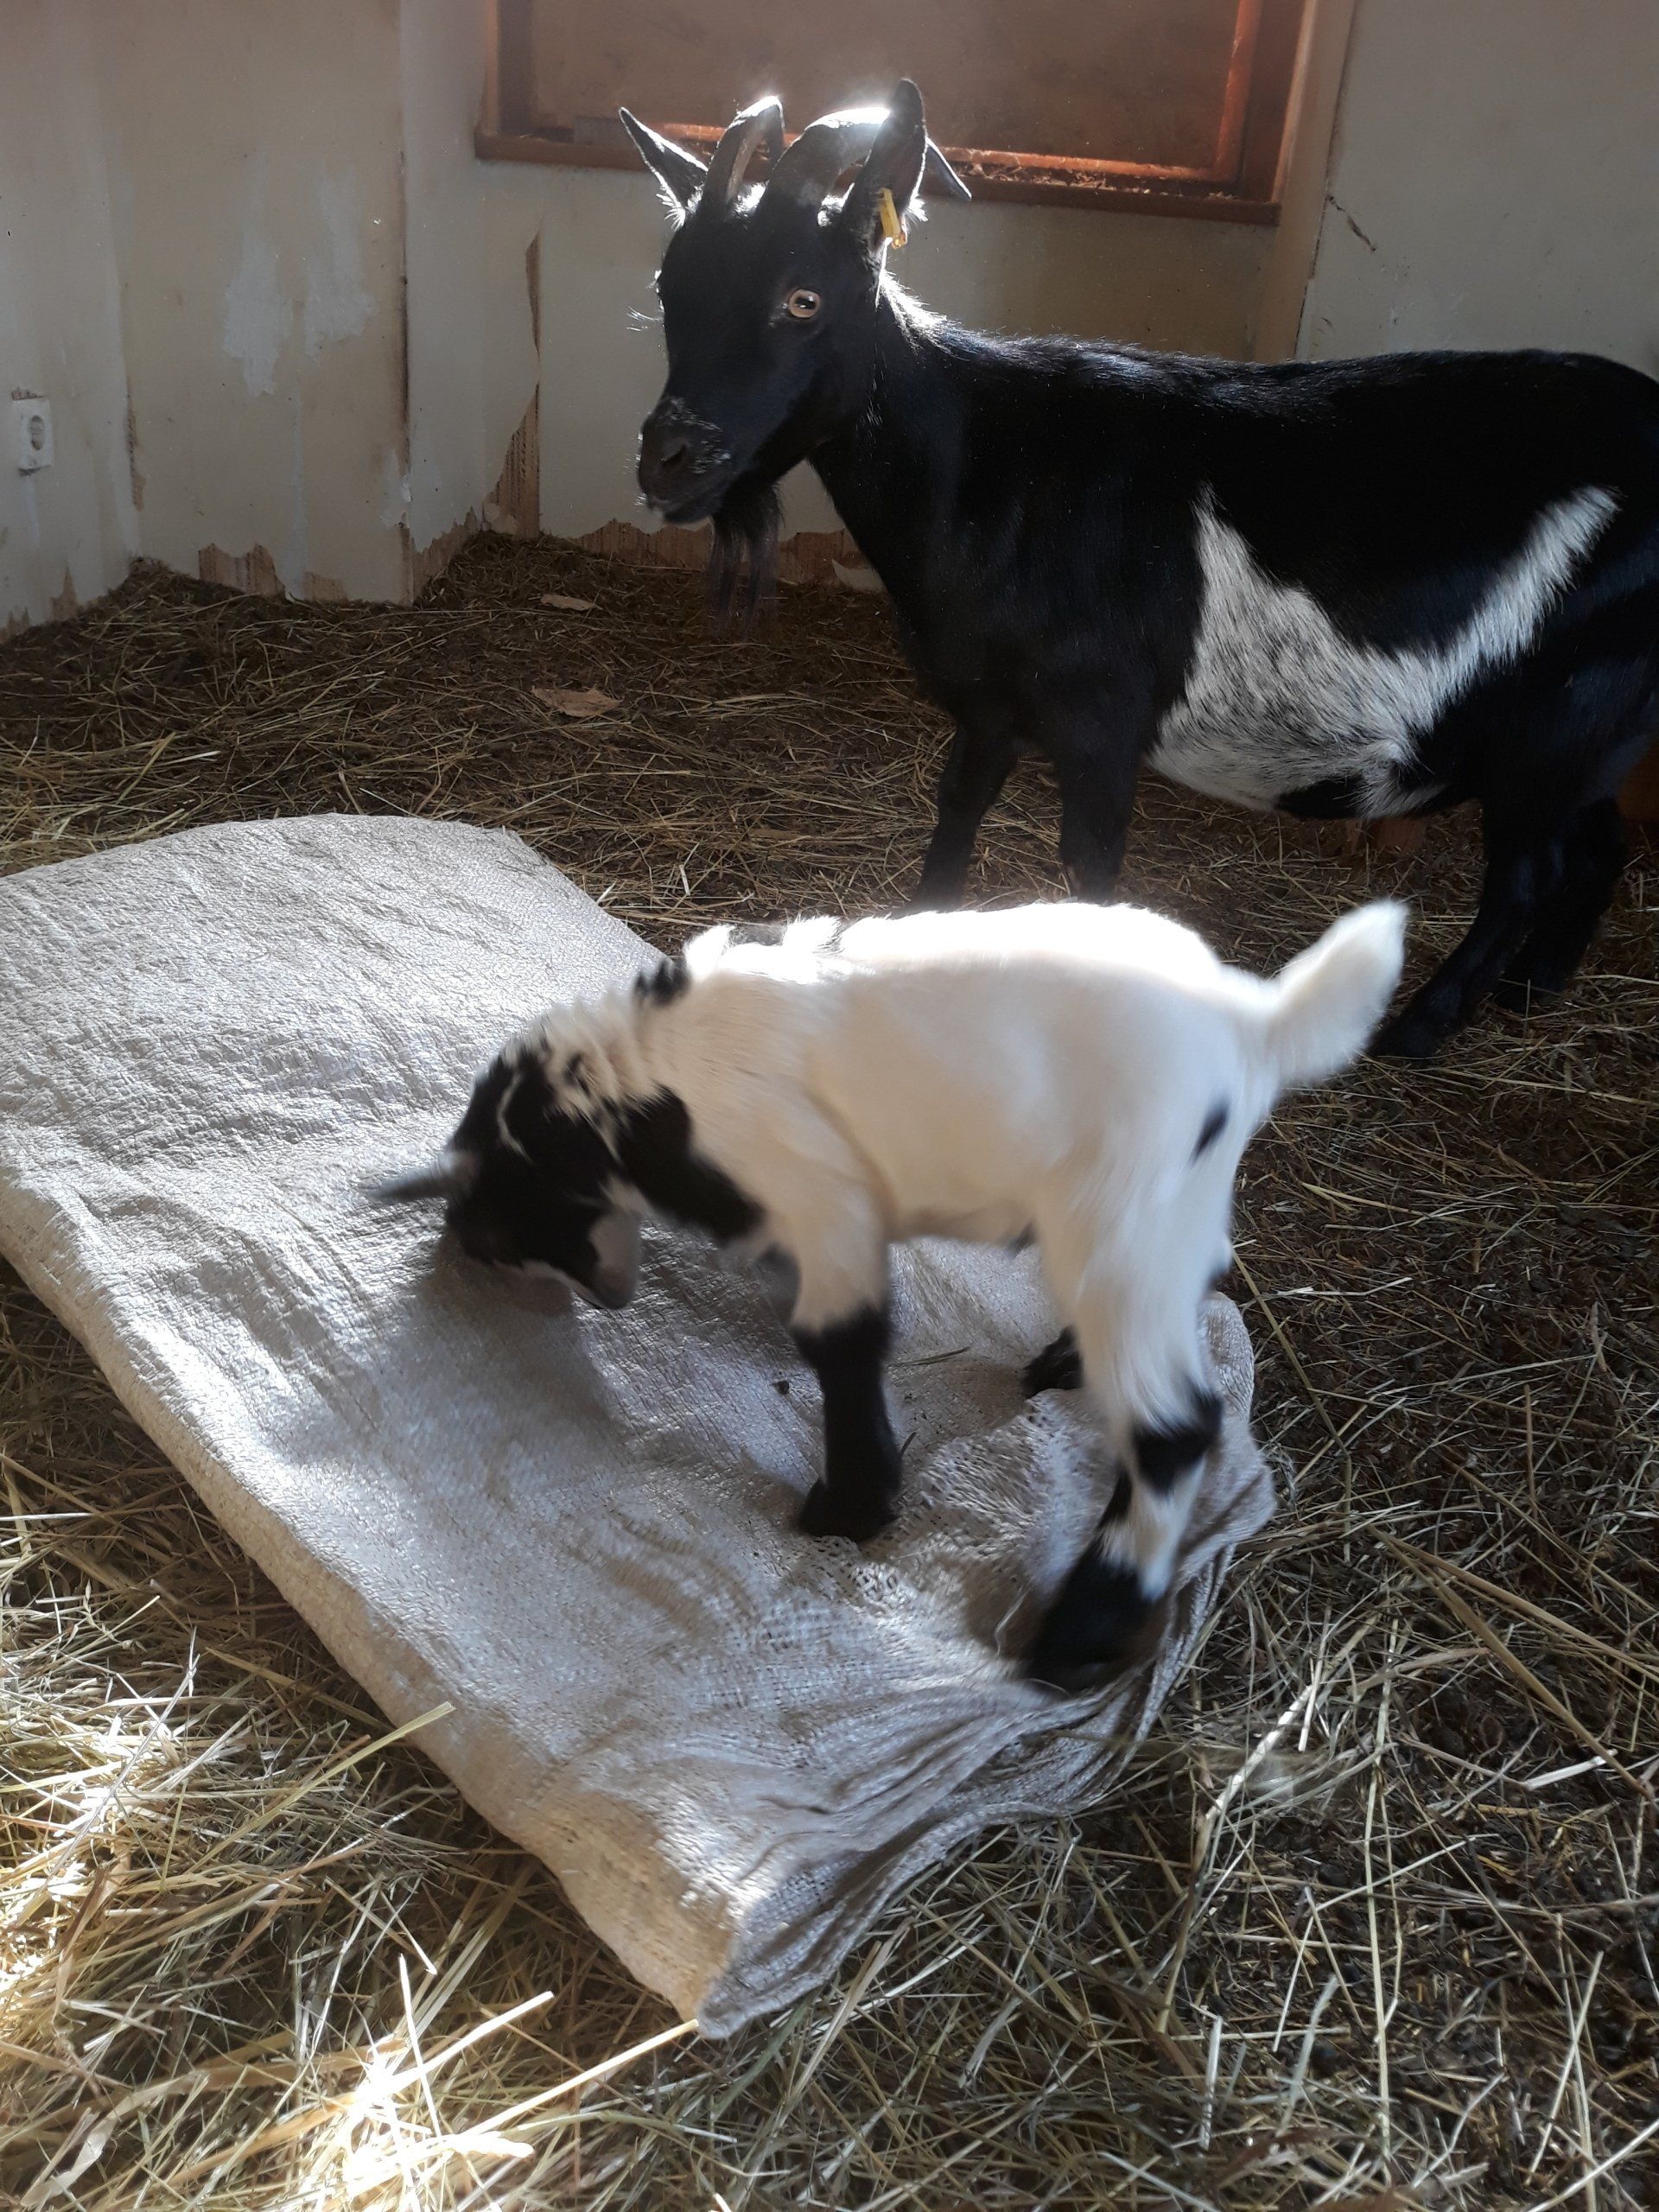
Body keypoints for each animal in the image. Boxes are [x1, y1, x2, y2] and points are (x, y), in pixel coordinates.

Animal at [380, 896, 1406, 1690]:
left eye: (503, 1231)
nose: (606, 1300)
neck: (651, 1088)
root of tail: (1254, 1022)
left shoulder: (823, 1197)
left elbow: (844, 1342)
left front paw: (851, 1507)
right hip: (1170, 1210)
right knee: (1197, 1280)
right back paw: (1065, 1363)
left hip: (1117, 1212)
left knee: (1176, 1424)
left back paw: (1083, 1628)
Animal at [620, 82, 1659, 1060]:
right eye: (668, 286)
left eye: (804, 298)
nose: (668, 459)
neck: (991, 466)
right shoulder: (990, 706)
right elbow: (954, 821)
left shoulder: (1101, 724)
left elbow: (1089, 865)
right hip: (1593, 726)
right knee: (1598, 841)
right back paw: (1532, 987)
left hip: (1565, 713)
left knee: (1526, 873)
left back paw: (1420, 1029)